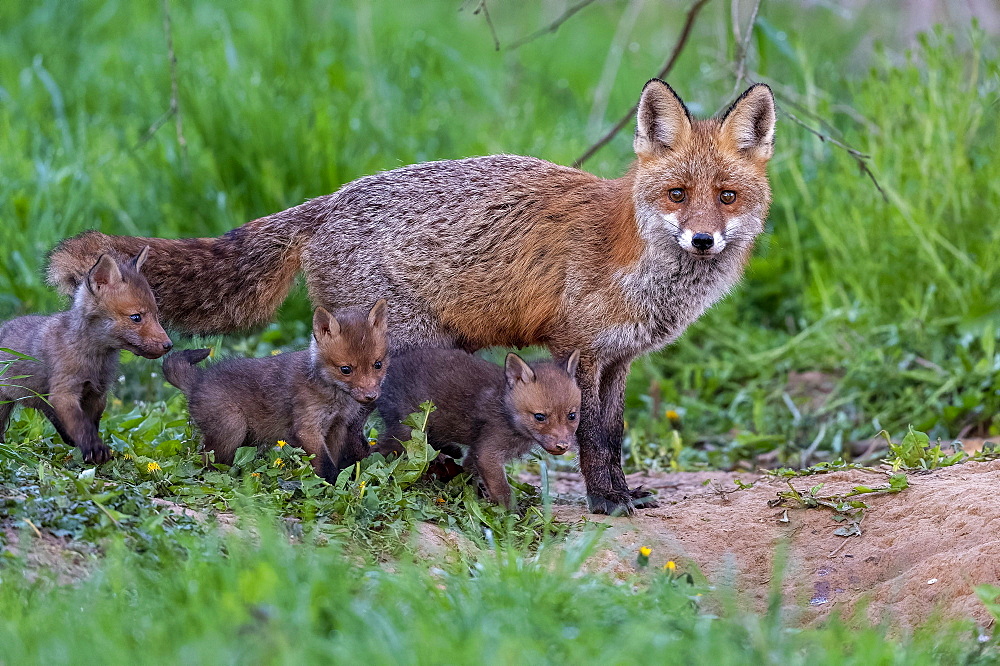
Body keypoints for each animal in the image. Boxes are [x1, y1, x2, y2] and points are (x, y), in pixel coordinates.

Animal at [50, 79, 776, 512]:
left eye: (727, 196)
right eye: (677, 194)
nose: (704, 240)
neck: (639, 262)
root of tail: (327, 200)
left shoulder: (619, 358)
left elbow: (616, 433)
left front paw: (623, 494)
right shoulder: (582, 351)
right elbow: (594, 436)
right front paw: (606, 503)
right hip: (399, 352)